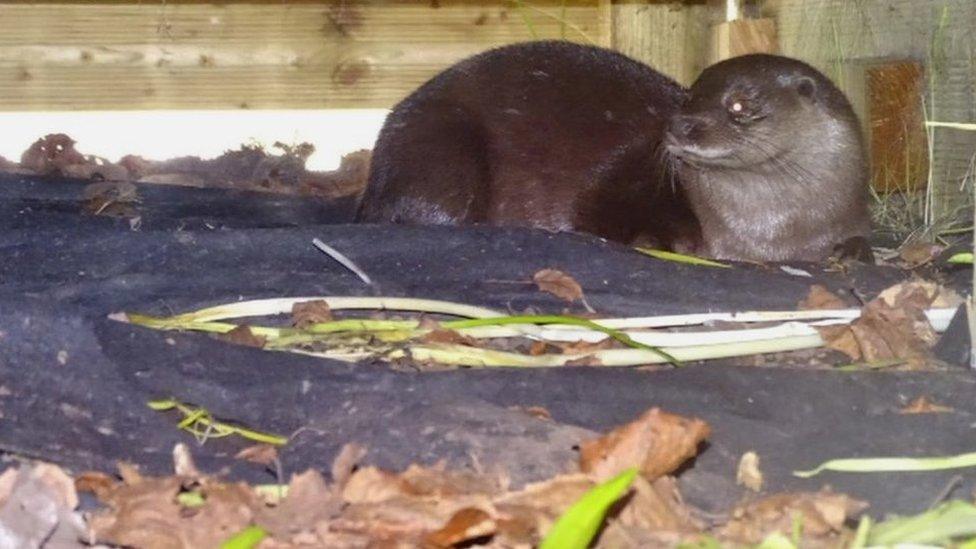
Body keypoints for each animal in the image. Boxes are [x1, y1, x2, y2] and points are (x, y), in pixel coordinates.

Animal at [354, 39, 872, 262]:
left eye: (739, 104)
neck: (772, 232)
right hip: (444, 149)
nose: (680, 125)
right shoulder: (625, 171)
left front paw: (851, 252)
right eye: (688, 98)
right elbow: (596, 210)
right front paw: (664, 241)